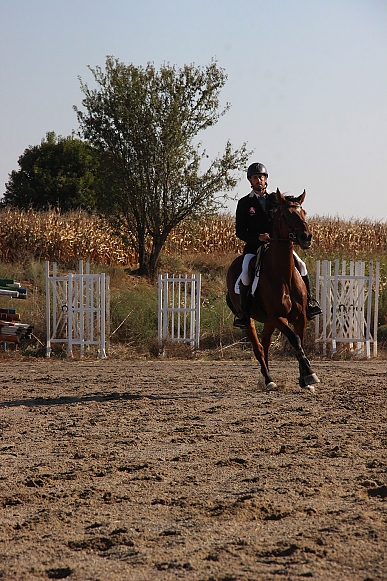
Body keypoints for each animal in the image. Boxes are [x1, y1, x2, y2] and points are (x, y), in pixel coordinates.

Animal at [227, 188, 322, 392]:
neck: (283, 274)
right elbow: (294, 339)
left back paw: (265, 378)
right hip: (250, 321)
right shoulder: (279, 317)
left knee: (265, 346)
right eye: (286, 215)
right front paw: (309, 375)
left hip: (269, 321)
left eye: (304, 212)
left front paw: (305, 379)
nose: (306, 237)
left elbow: (299, 341)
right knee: (258, 348)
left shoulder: (300, 316)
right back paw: (269, 380)